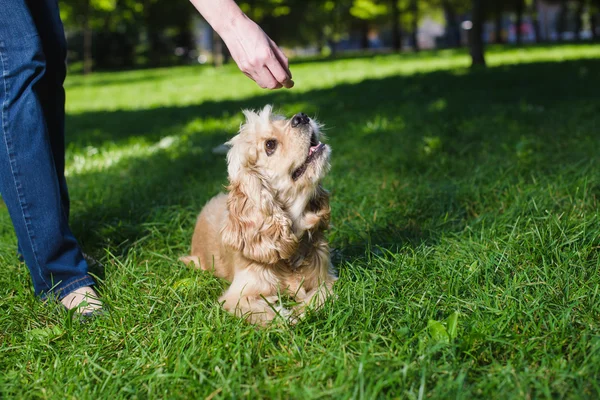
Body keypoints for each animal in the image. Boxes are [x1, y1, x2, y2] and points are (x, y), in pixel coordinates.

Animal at [180, 104, 336, 324]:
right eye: (270, 145)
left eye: (282, 120)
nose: (302, 116)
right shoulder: (236, 297)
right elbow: (266, 313)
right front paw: (288, 317)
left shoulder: (326, 278)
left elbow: (321, 295)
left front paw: (303, 310)